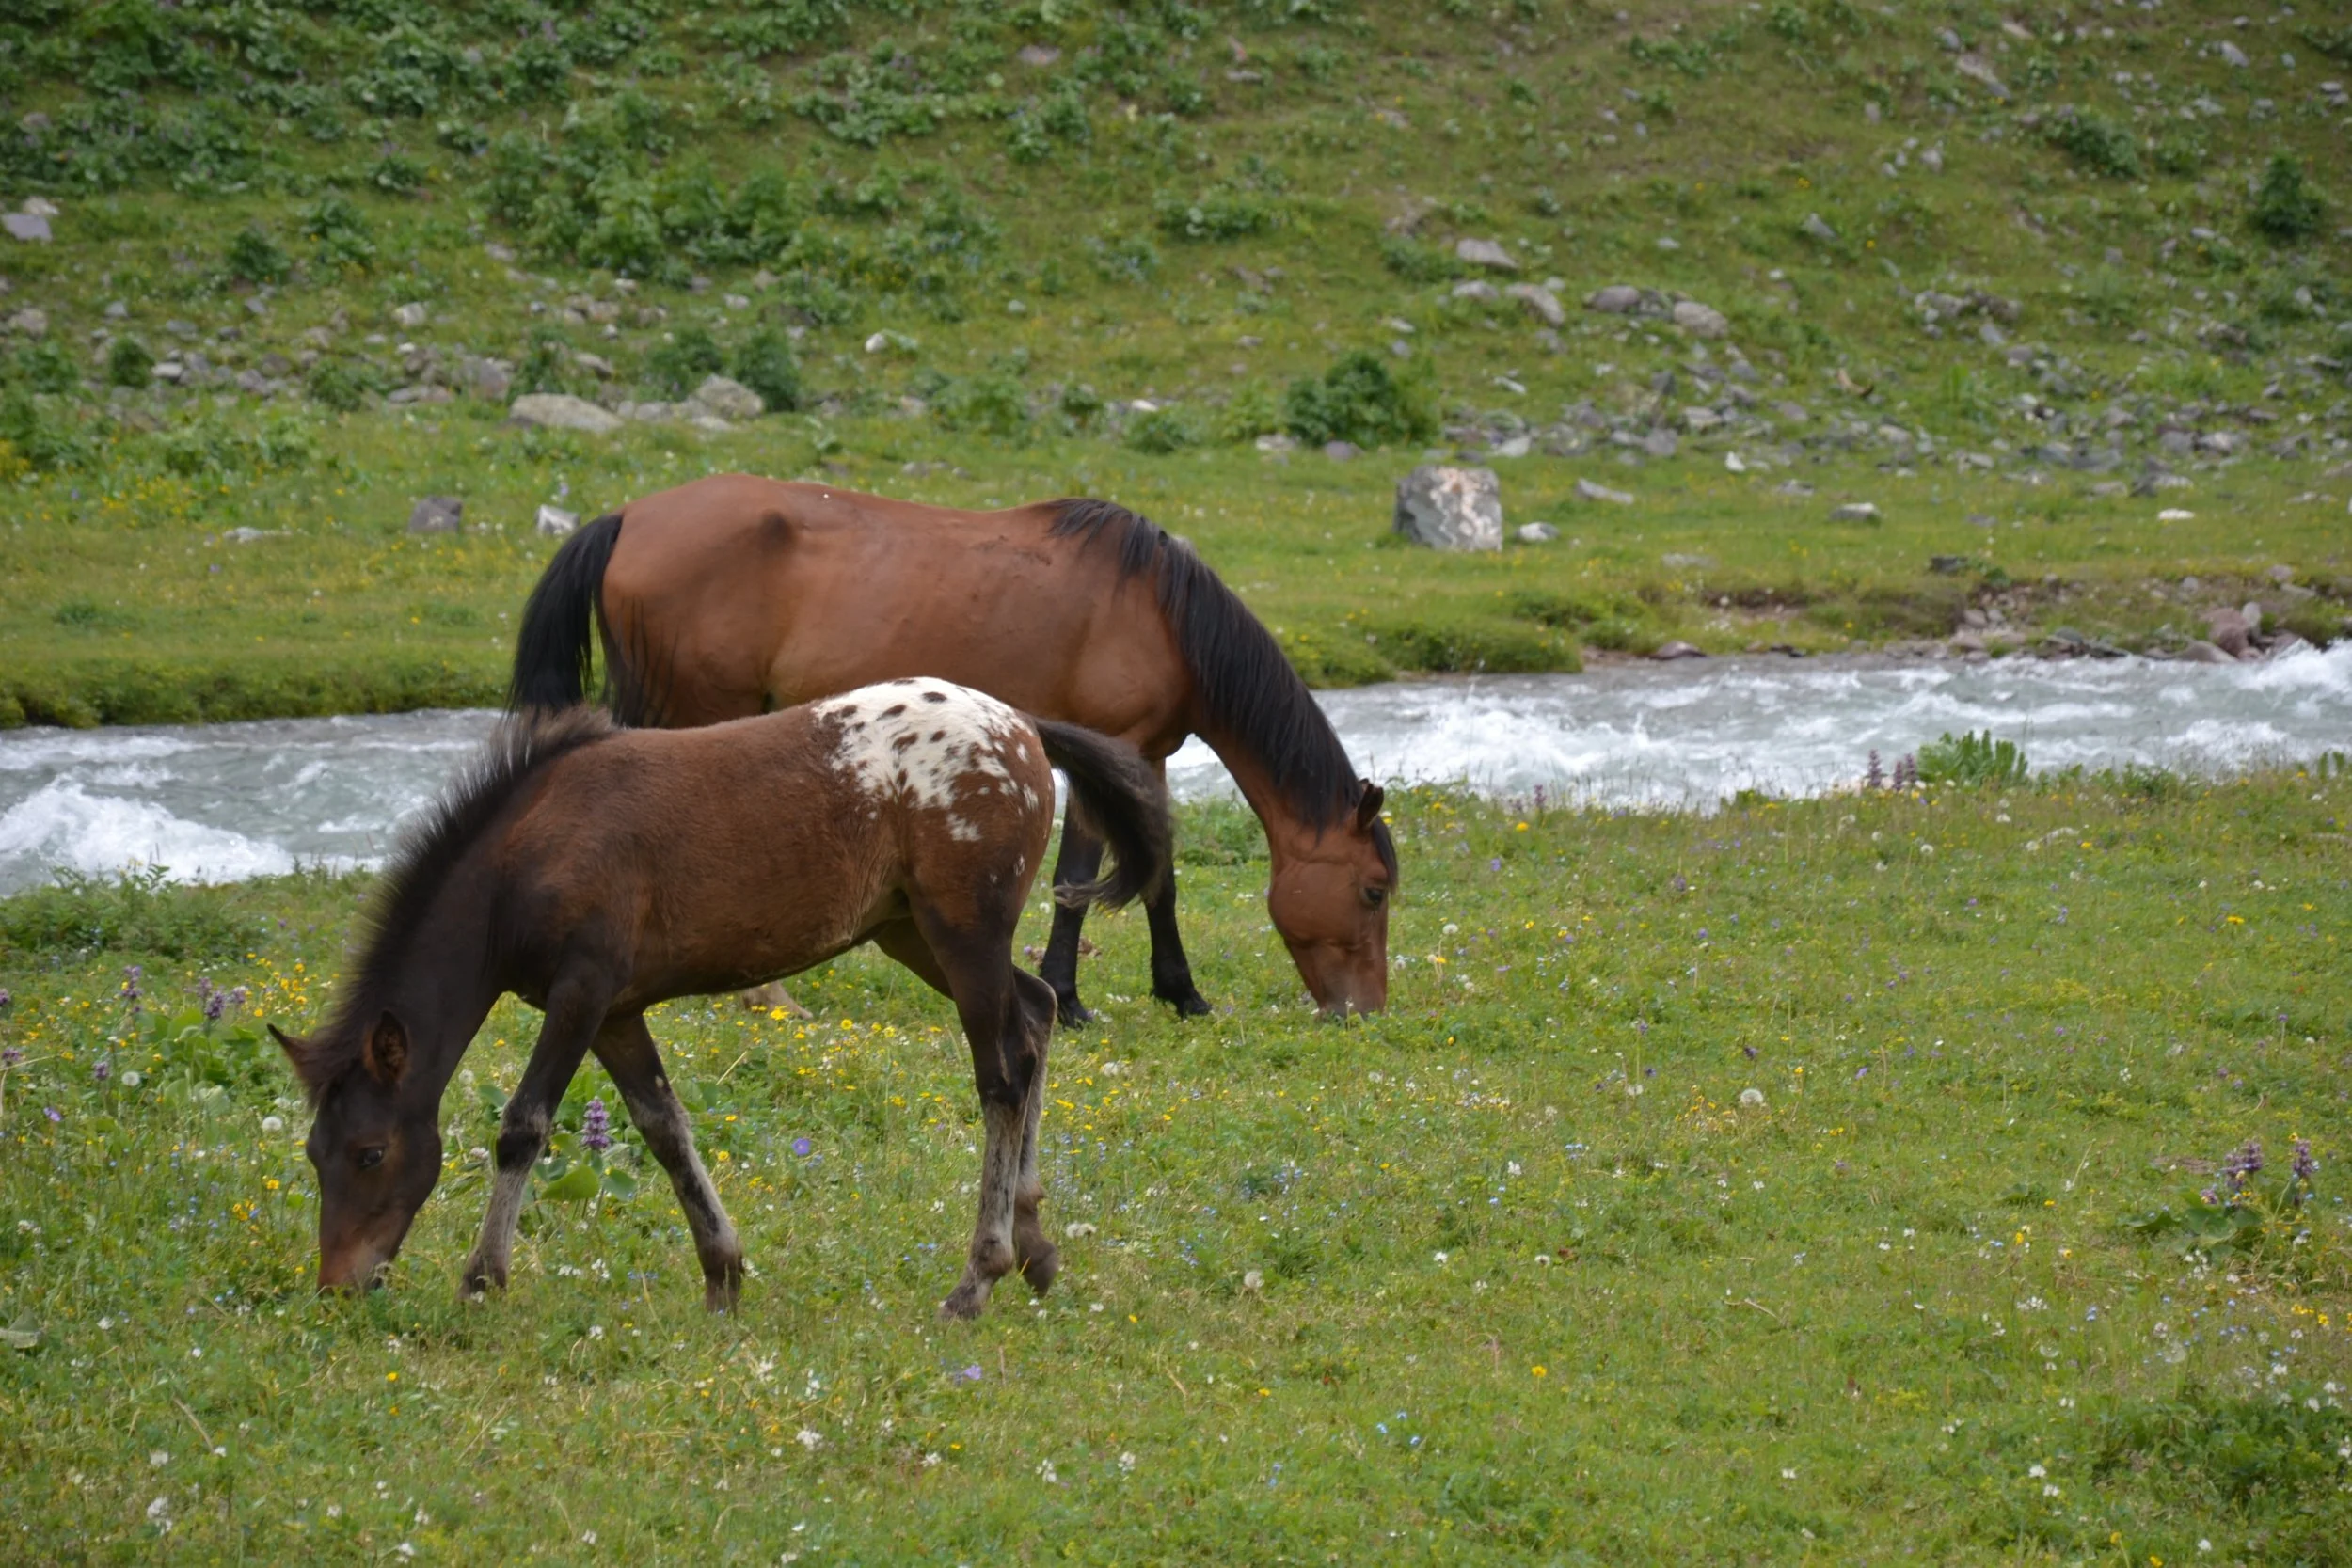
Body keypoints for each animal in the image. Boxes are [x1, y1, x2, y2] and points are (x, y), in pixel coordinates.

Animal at [268, 678, 1170, 1320]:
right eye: (314, 1152)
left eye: (371, 1153)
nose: (337, 1285)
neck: (522, 858)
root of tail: (1019, 724)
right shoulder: (616, 1009)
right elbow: (663, 1127)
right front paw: (723, 1273)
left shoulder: (580, 991)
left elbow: (523, 1125)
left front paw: (482, 1279)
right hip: (911, 933)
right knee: (1038, 1014)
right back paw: (1035, 1243)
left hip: (962, 931)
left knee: (1001, 1077)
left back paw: (979, 1275)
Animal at [508, 475, 1397, 1021]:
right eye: (1374, 890)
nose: (1362, 1010)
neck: (1161, 613)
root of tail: (628, 518)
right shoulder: (1114, 752)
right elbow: (1092, 880)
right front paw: (1086, 997)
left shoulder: (1140, 760)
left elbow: (1147, 874)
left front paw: (1171, 993)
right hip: (700, 710)